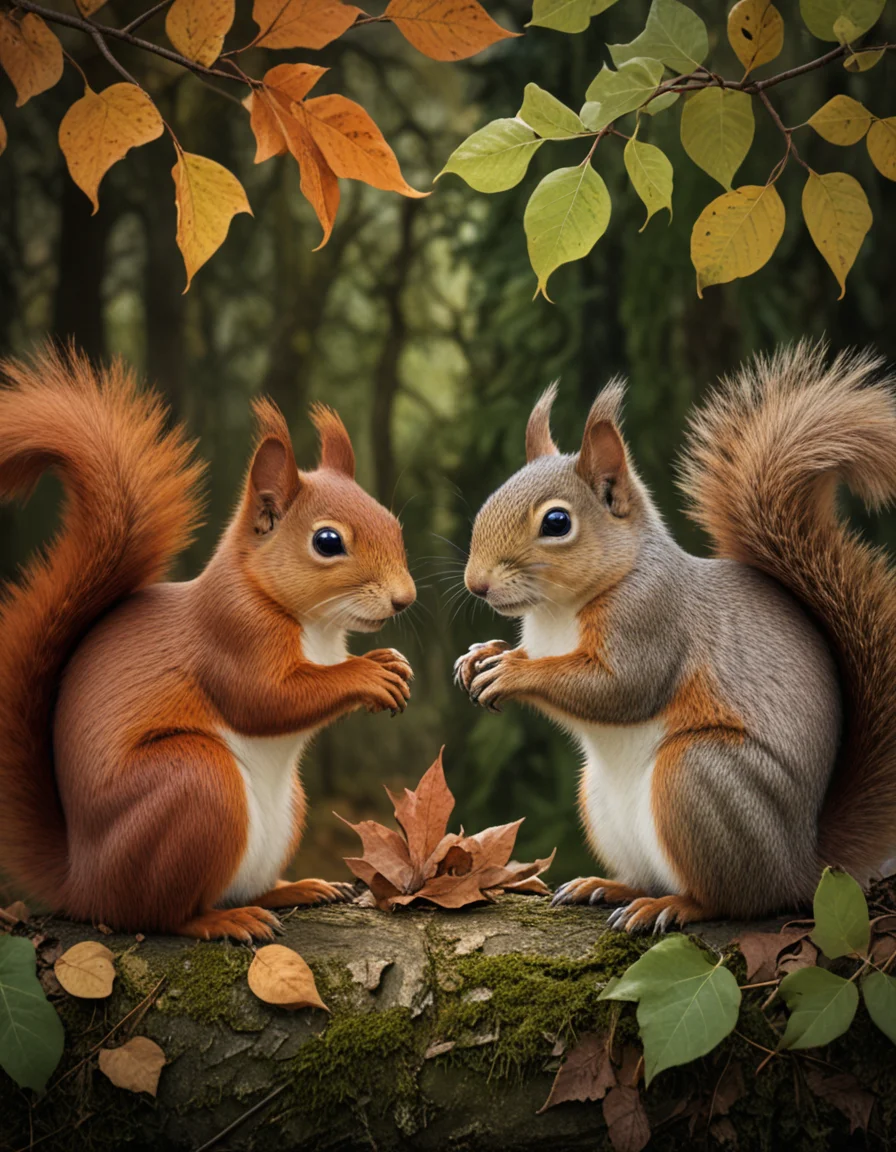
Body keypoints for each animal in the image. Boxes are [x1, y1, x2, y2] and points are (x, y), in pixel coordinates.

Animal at [0, 347, 416, 941]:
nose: (404, 599)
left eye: (393, 524)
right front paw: (370, 673)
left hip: (285, 809)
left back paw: (296, 888)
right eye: (327, 541)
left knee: (240, 885)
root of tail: (83, 883)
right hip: (194, 784)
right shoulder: (231, 636)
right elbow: (264, 700)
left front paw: (391, 662)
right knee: (164, 914)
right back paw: (224, 920)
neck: (313, 625)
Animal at [455, 342, 896, 932]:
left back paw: (670, 905)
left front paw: (512, 672)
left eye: (556, 522)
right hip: (601, 802)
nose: (476, 584)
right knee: (651, 874)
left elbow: (622, 689)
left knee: (731, 901)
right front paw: (481, 655)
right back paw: (609, 886)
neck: (557, 611)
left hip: (700, 778)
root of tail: (803, 866)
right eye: (491, 498)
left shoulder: (652, 621)